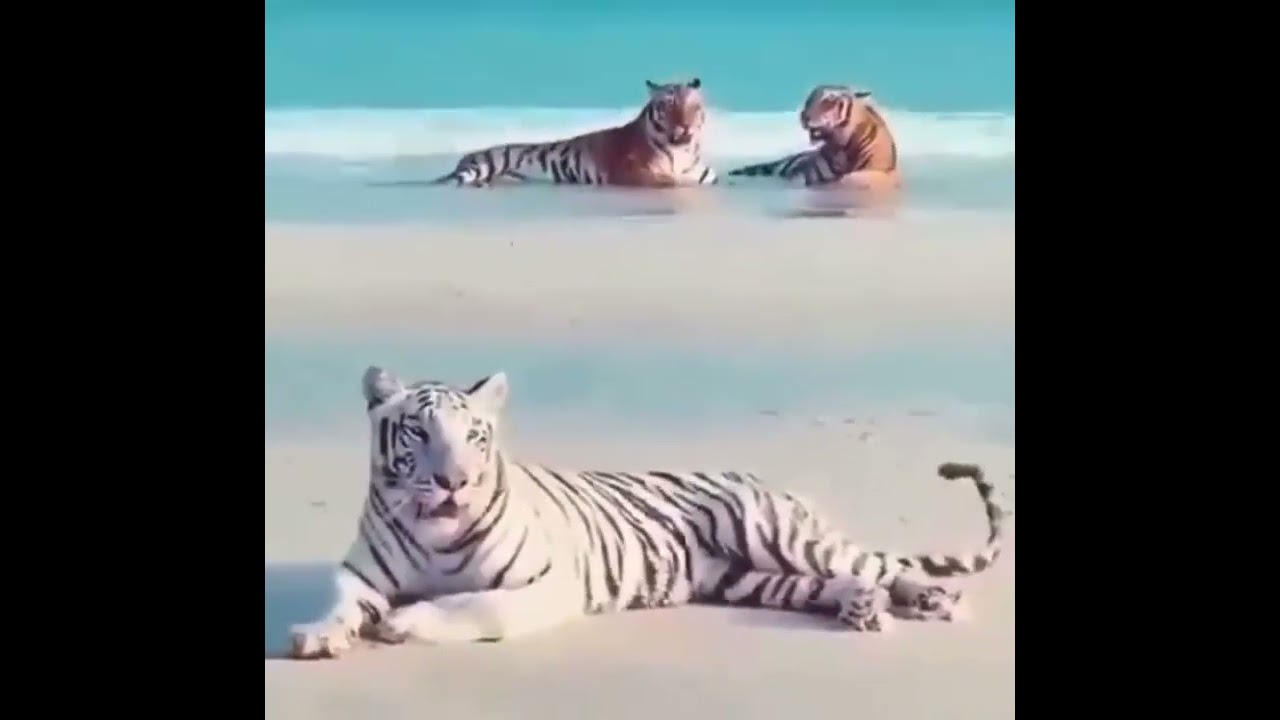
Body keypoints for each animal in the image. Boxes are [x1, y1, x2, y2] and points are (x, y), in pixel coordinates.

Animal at [289, 366, 1011, 659]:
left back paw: (931, 600)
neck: (433, 532)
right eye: (418, 432)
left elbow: (472, 605)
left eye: (475, 437)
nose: (454, 482)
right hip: (746, 579)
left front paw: (406, 623)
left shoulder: (546, 585)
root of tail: (765, 479)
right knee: (836, 582)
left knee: (880, 565)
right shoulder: (361, 575)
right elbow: (340, 603)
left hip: (775, 534)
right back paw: (860, 606)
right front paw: (318, 635)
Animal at [432, 78, 718, 188]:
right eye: (668, 106)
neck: (682, 150)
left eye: (692, 107)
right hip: (484, 164)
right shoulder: (632, 172)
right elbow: (670, 180)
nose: (685, 127)